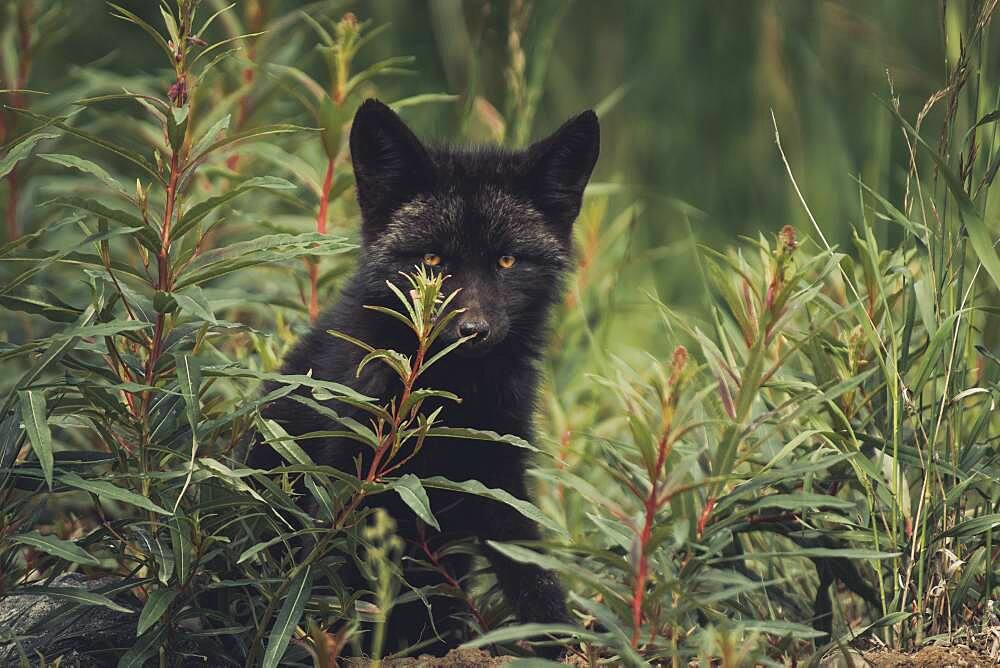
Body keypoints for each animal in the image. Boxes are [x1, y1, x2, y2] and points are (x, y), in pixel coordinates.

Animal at [246, 100, 596, 656]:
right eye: (432, 259)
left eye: (507, 260)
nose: (471, 331)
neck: (453, 396)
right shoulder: (347, 481)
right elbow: (332, 582)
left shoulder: (500, 473)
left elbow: (533, 574)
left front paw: (556, 645)